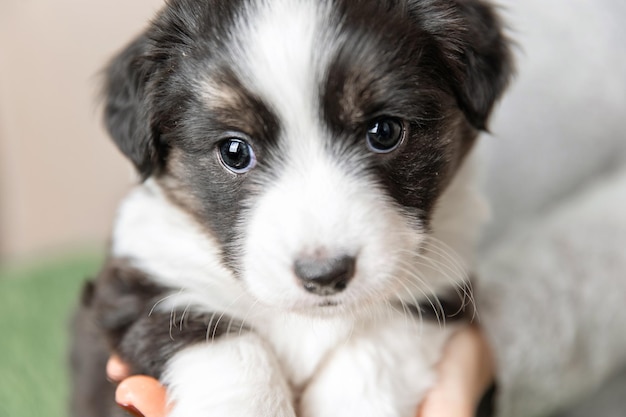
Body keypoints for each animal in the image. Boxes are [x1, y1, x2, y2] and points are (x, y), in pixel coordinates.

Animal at [72, 0, 512, 416]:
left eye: (384, 131)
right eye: (234, 151)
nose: (325, 276)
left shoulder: (439, 291)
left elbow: (376, 351)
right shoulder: (145, 283)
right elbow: (231, 353)